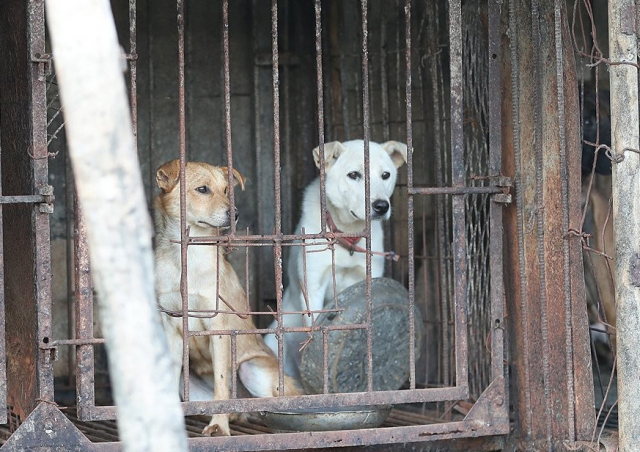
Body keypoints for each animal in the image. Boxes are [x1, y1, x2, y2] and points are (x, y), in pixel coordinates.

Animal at [156, 161, 304, 436]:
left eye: (226, 190)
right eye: (202, 189)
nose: (234, 213)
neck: (187, 256)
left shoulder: (218, 327)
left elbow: (221, 386)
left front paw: (219, 425)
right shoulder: (171, 326)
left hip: (251, 369)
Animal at [264, 139, 404, 376]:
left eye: (386, 175)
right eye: (354, 175)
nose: (381, 206)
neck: (346, 236)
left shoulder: (367, 279)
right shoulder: (312, 287)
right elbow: (313, 326)